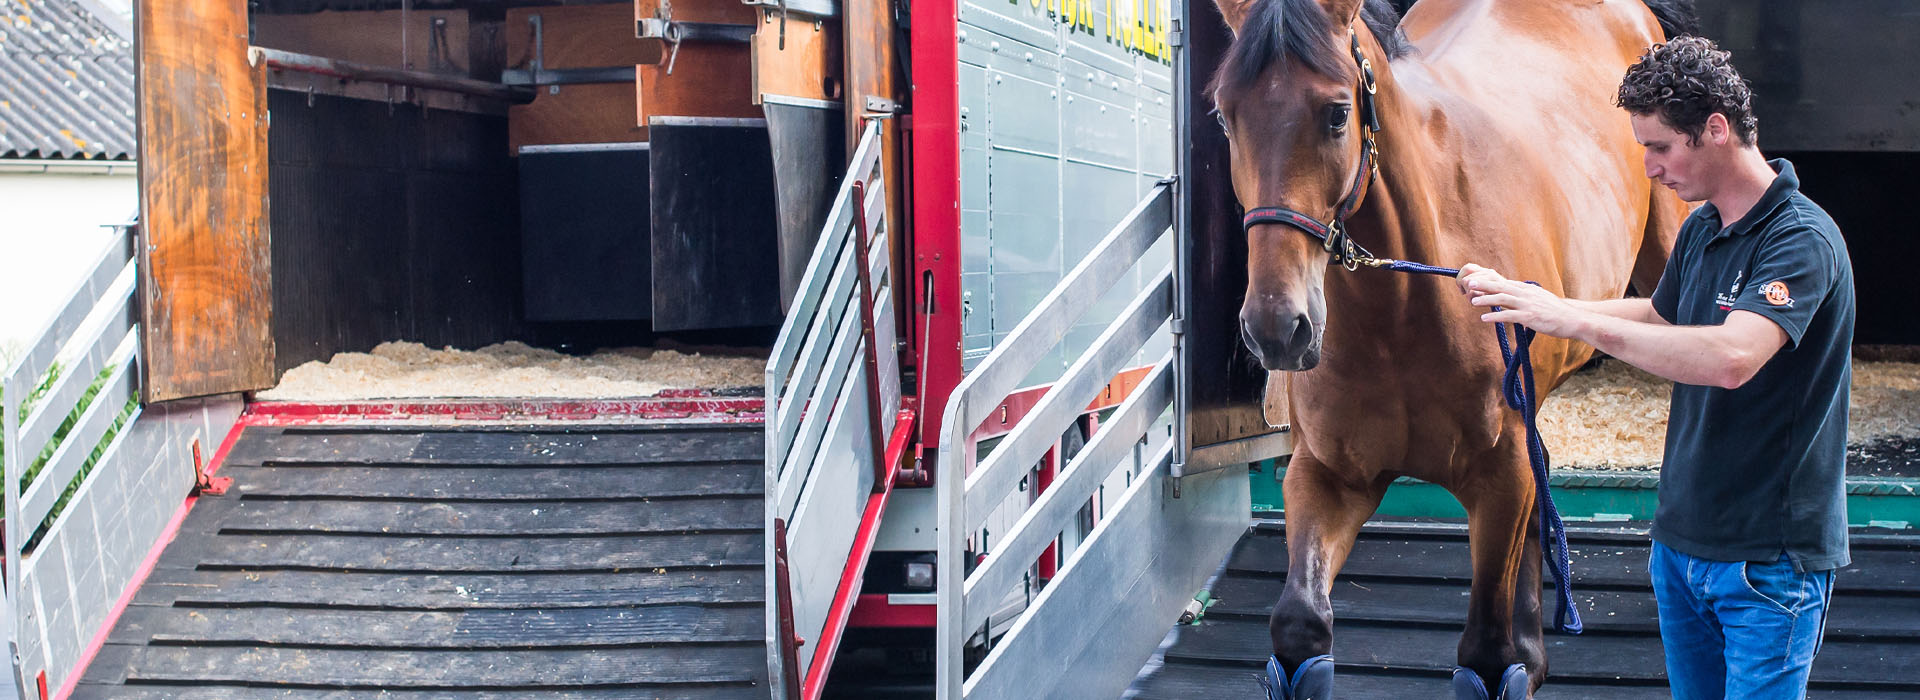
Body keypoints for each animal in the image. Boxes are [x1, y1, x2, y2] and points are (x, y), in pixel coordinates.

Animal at [1208, 0, 1694, 696]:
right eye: (1226, 114)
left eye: (1336, 113)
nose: (1277, 326)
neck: (1403, 313)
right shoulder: (1326, 476)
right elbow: (1300, 627)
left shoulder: (1499, 478)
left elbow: (1485, 652)